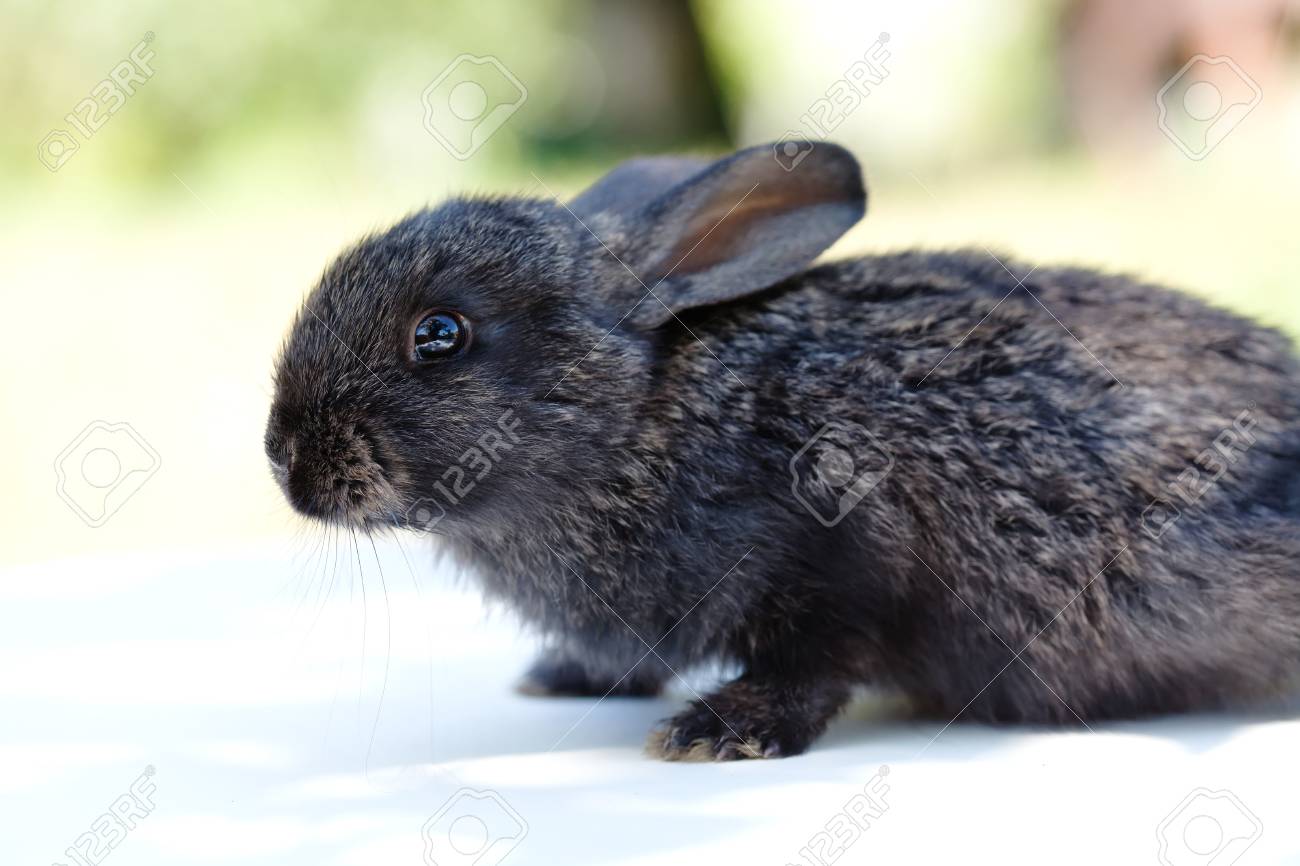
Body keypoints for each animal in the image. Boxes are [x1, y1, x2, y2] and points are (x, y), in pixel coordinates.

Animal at [265, 140, 1300, 761]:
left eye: (440, 335)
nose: (282, 456)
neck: (642, 418)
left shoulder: (847, 547)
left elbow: (817, 659)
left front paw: (719, 730)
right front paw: (564, 676)